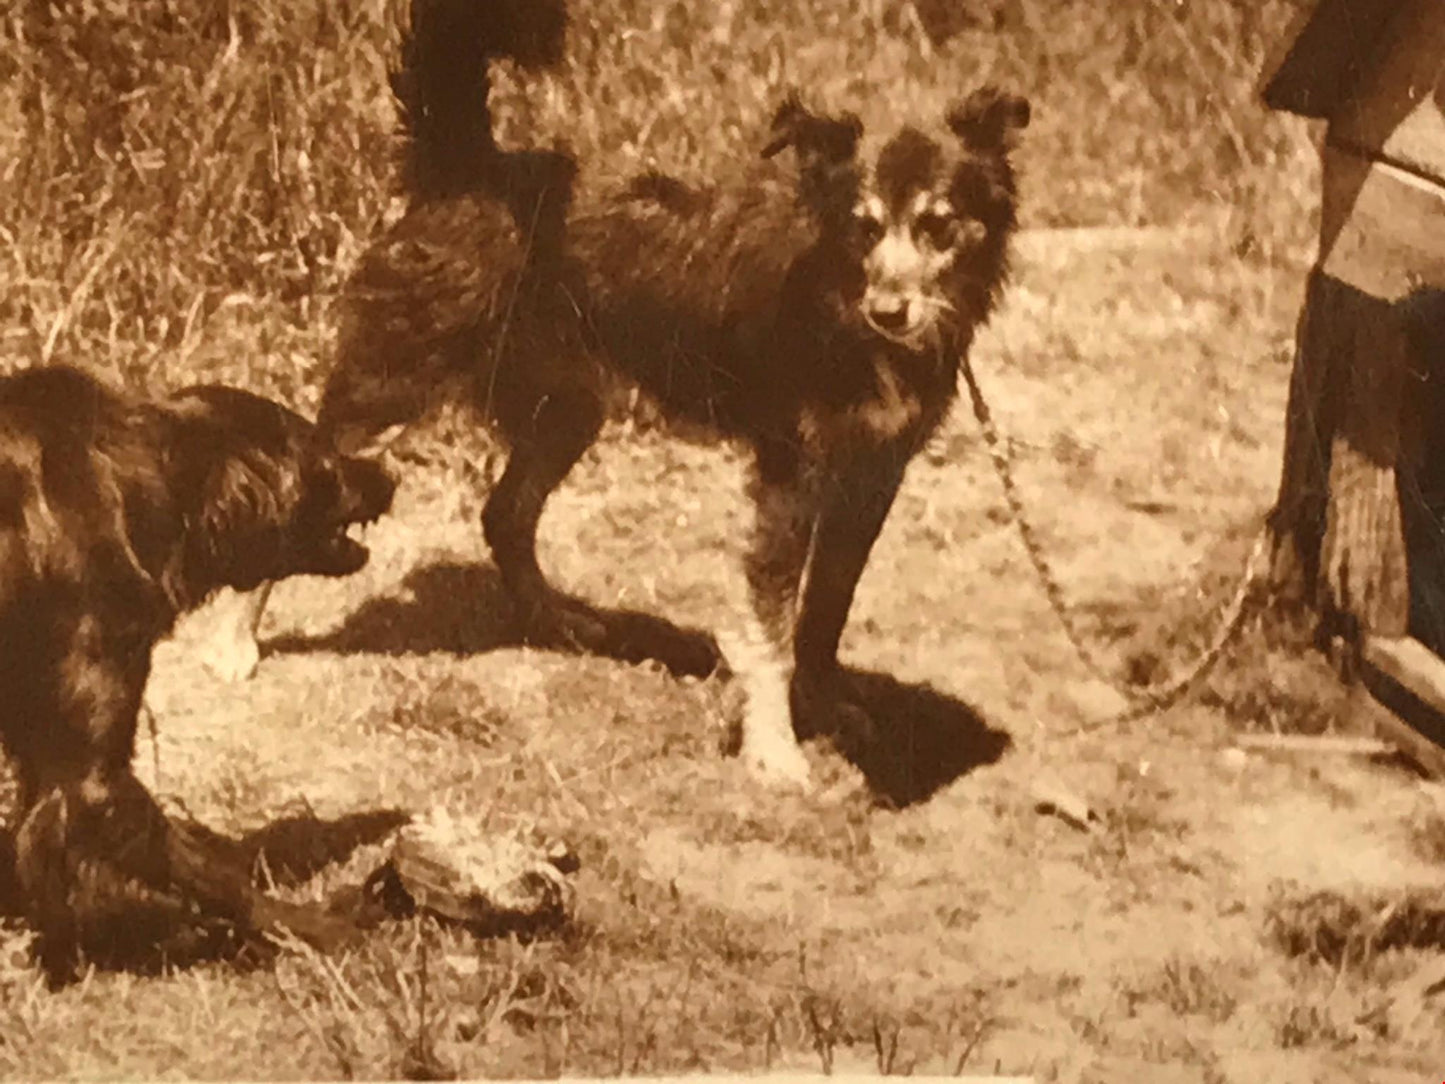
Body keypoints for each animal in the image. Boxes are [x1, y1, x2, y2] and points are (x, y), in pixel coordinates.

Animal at [210, 0, 1028, 792]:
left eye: (938, 225)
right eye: (863, 228)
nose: (890, 312)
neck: (837, 296)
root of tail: (472, 165)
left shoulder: (872, 472)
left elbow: (827, 610)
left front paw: (825, 703)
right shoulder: (789, 477)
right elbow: (771, 632)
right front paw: (773, 749)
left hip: (567, 409)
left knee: (505, 515)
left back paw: (558, 623)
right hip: (392, 382)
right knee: (316, 480)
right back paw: (235, 642)